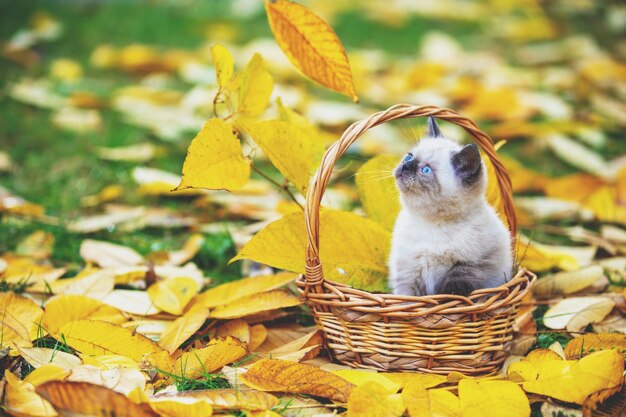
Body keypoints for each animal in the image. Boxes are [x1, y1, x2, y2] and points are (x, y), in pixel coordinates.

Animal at [386, 115, 512, 294]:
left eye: (426, 170)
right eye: (409, 157)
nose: (405, 166)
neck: (432, 224)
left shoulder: (474, 264)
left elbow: (453, 287)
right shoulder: (408, 272)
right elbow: (408, 297)